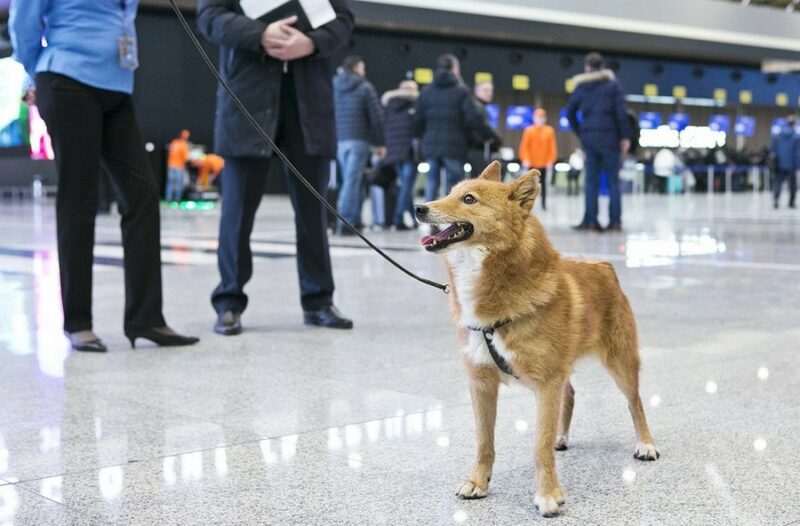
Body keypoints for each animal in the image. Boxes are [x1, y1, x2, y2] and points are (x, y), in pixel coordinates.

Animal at [416, 162, 660, 520]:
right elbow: (483, 441)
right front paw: (478, 482)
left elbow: (539, 445)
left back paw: (645, 443)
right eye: (449, 192)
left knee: (635, 402)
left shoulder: (546, 384)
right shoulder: (482, 383)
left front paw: (547, 495)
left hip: (620, 362)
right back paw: (562, 435)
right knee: (569, 395)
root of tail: (603, 266)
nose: (419, 208)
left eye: (469, 199)